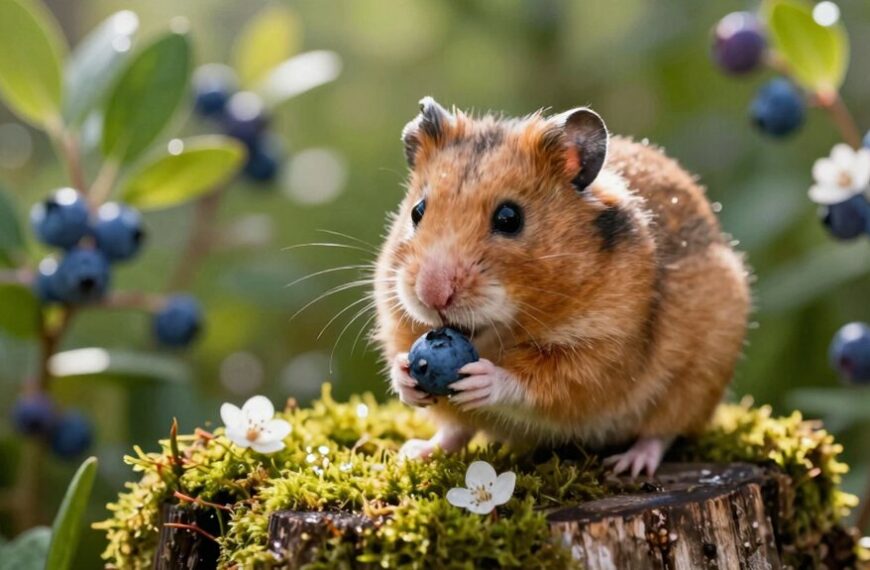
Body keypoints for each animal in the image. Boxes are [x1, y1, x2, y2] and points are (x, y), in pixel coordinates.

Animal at [373, 97, 750, 476]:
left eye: (509, 218)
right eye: (417, 211)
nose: (431, 294)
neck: (497, 334)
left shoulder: (601, 352)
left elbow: (539, 383)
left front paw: (482, 378)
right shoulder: (398, 322)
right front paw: (406, 375)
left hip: (696, 380)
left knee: (663, 431)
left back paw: (629, 464)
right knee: (455, 432)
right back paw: (415, 452)